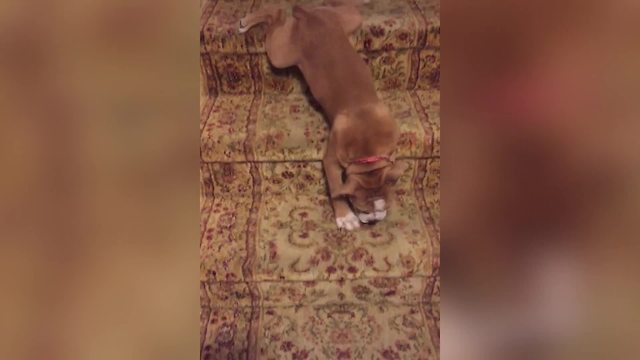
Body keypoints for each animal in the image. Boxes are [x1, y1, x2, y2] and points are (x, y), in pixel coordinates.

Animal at [238, 0, 408, 231]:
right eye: (362, 210)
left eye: (386, 207)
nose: (374, 220)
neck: (368, 151)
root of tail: (309, 16)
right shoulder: (330, 161)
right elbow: (336, 188)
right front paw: (345, 216)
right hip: (280, 55)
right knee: (276, 13)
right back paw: (247, 21)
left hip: (350, 18)